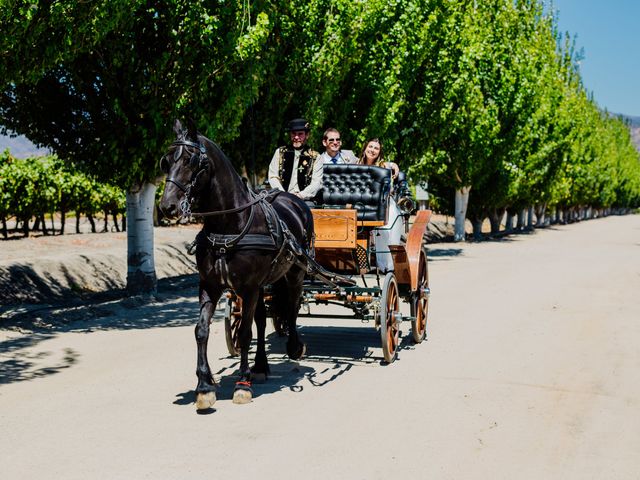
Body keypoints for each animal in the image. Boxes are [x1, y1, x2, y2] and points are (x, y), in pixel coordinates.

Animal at [159, 119, 312, 408]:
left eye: (190, 161)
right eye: (166, 161)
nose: (167, 206)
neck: (229, 224)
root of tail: (293, 199)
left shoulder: (249, 288)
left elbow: (244, 334)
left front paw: (242, 384)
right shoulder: (210, 285)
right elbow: (202, 330)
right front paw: (204, 386)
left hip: (295, 272)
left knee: (292, 306)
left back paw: (294, 346)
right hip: (263, 284)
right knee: (263, 319)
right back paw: (261, 365)